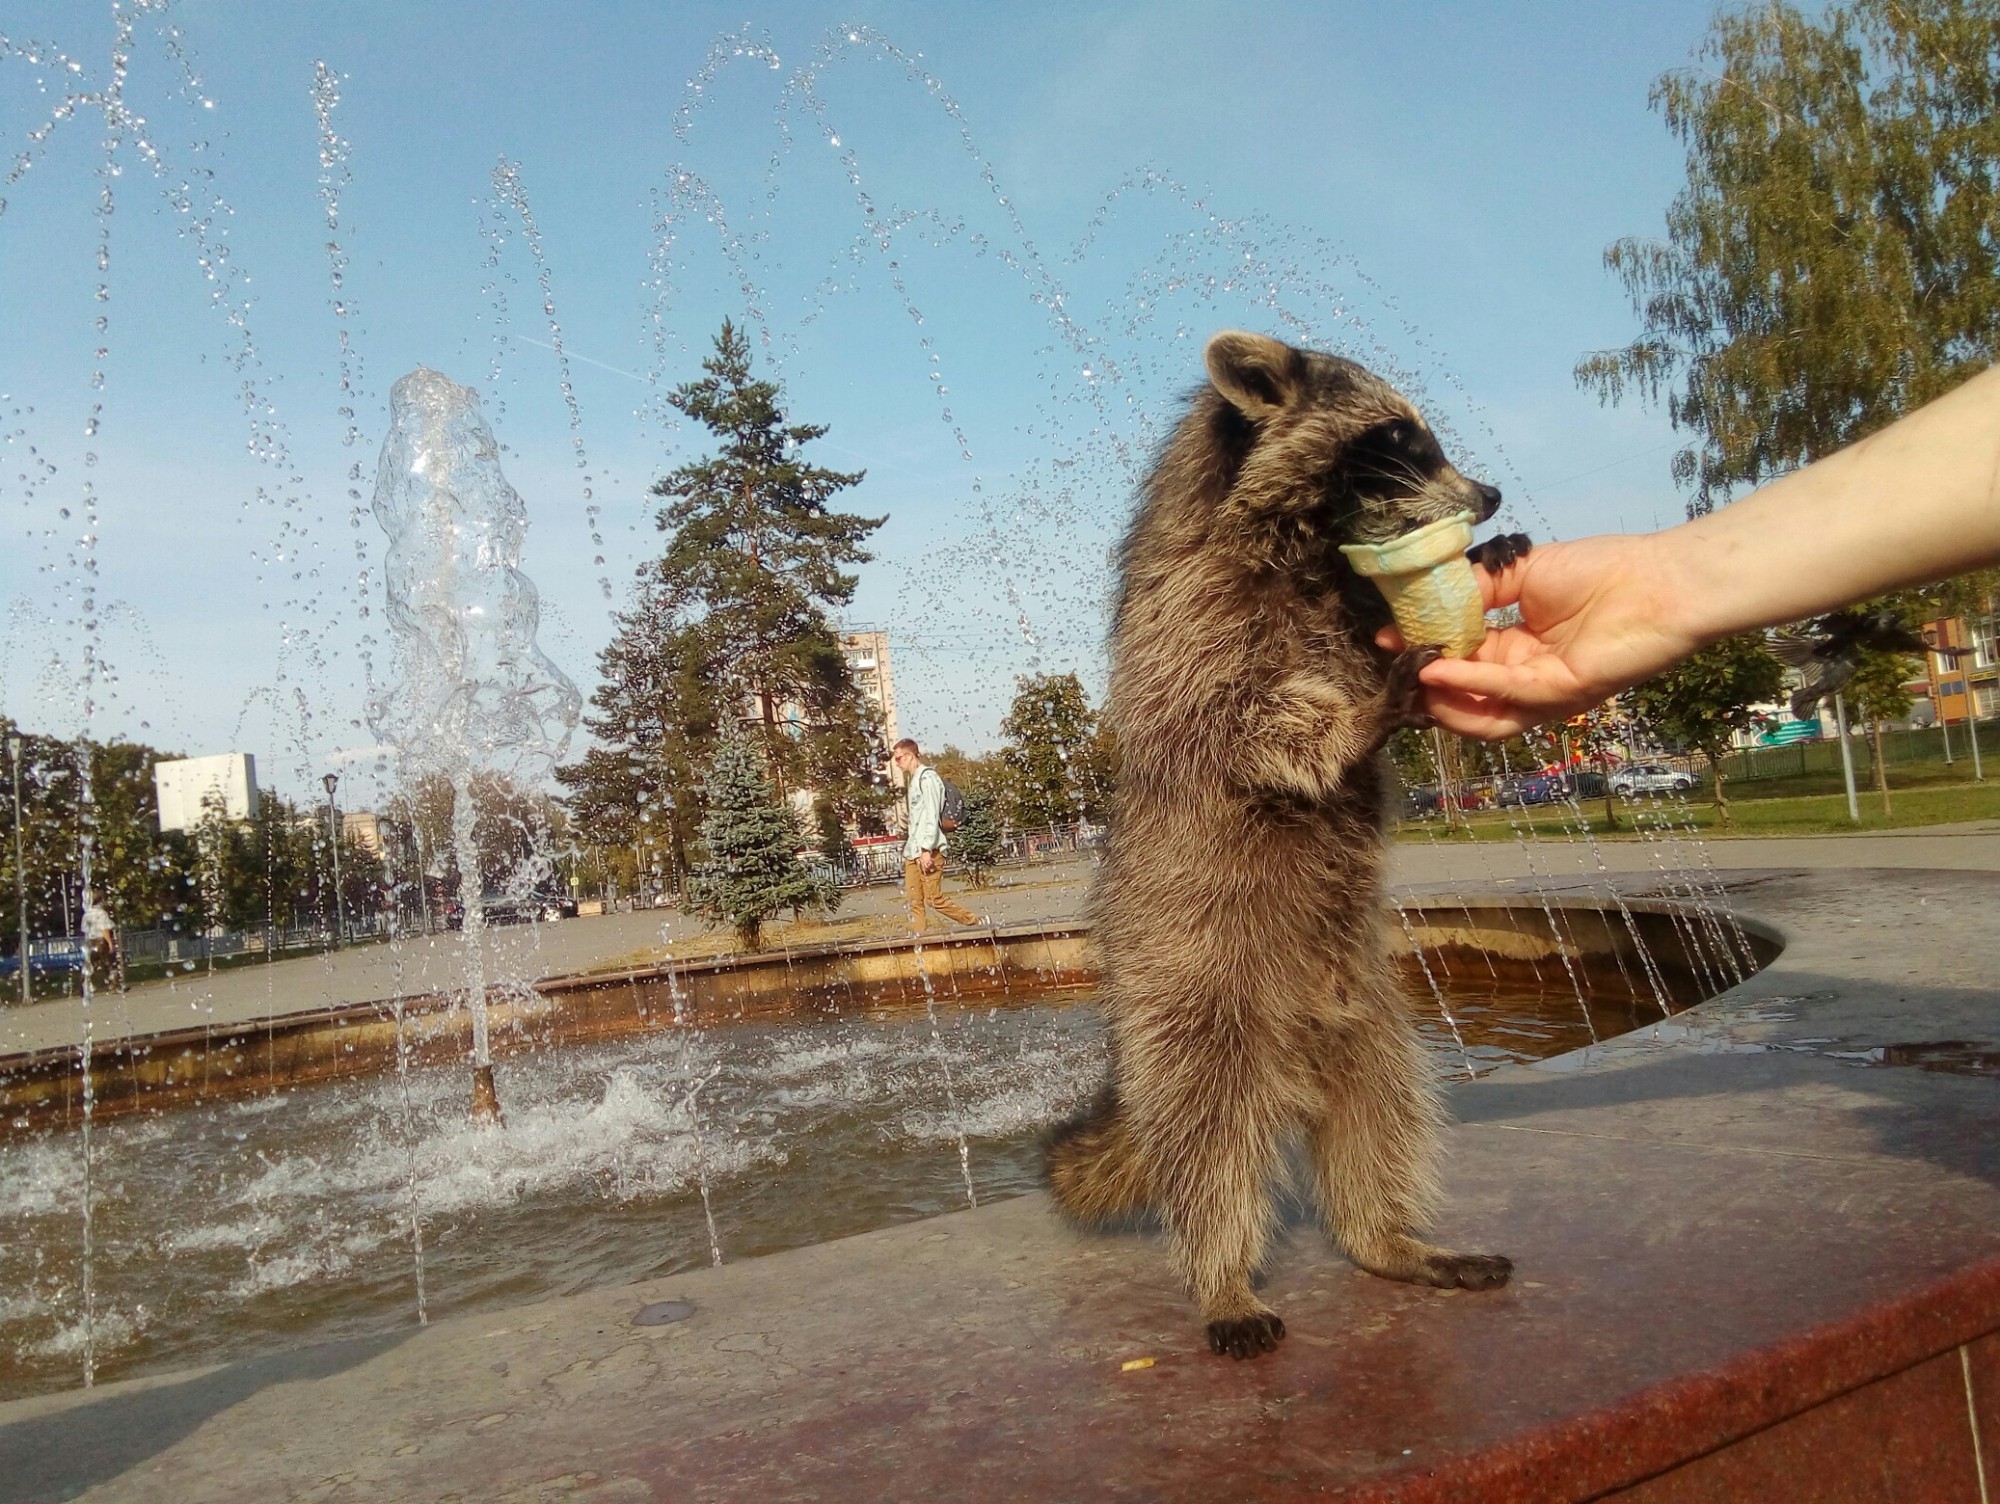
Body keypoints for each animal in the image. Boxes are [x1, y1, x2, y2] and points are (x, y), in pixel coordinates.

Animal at [1048, 332, 1512, 1360]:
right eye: (1400, 438)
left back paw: (1389, 1239)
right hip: (1193, 993)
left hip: (1369, 1013)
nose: (1494, 496)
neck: (1312, 552)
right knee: (1210, 1141)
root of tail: (1295, 1053)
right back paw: (1223, 1275)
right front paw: (1362, 710)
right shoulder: (1193, 624)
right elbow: (1249, 723)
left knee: (1384, 1116)